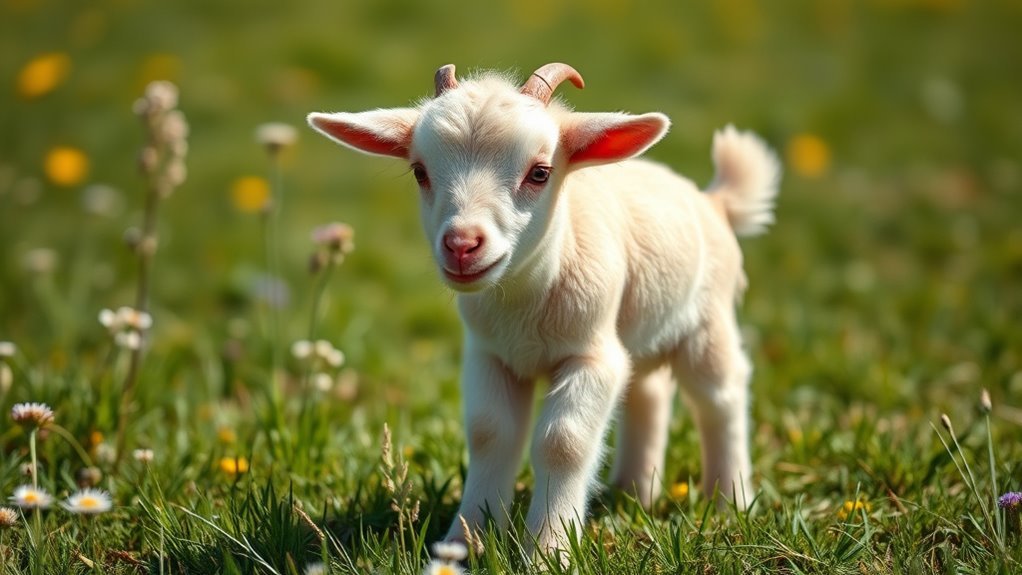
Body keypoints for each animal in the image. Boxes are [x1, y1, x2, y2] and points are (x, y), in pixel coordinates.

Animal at [307, 63, 780, 554]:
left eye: (539, 173)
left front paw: (548, 549)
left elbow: (563, 441)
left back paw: (729, 502)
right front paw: (464, 543)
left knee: (720, 396)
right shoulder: (489, 354)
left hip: (709, 320)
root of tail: (714, 202)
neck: (525, 302)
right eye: (420, 172)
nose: (461, 245)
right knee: (648, 393)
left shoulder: (592, 355)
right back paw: (633, 493)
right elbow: (490, 433)